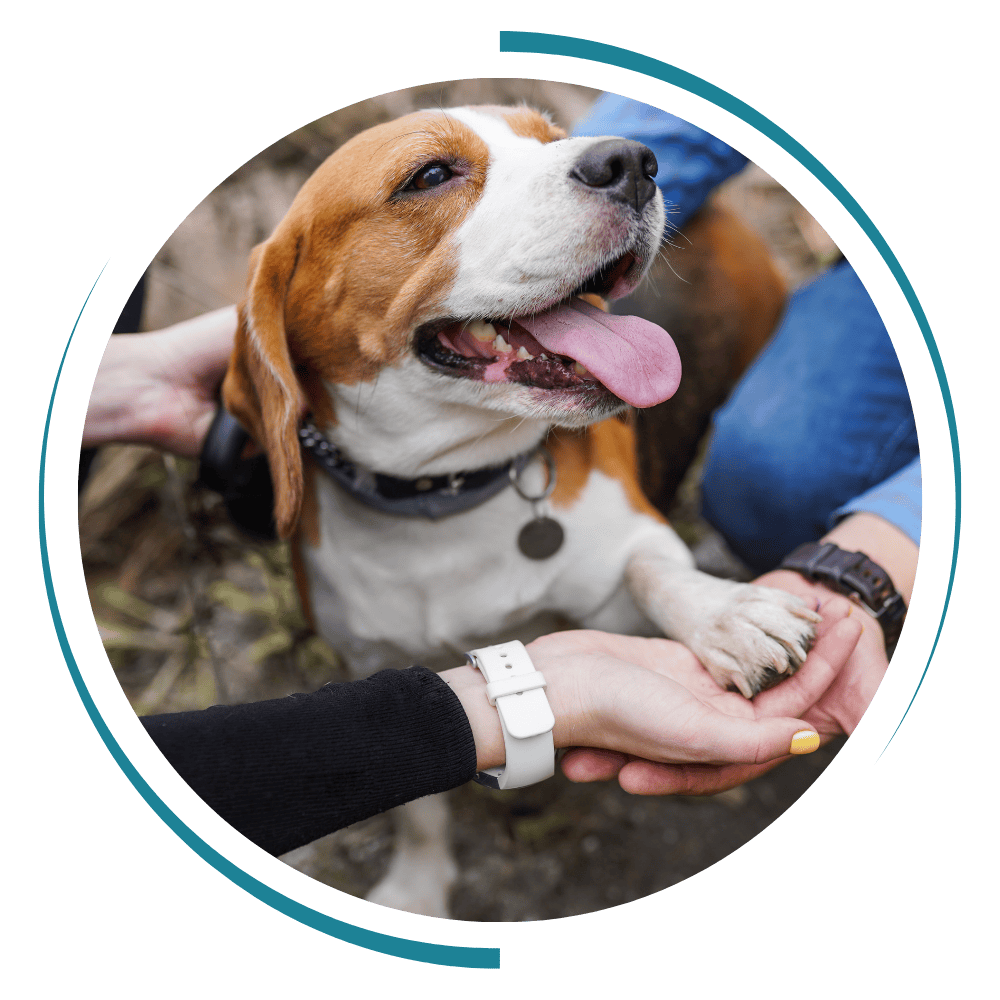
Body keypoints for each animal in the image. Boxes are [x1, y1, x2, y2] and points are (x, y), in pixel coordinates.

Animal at [223, 105, 816, 916]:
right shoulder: (383, 667)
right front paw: (417, 887)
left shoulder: (621, 570)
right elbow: (418, 805)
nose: (633, 162)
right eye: (430, 175)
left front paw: (727, 617)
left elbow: (653, 571)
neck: (447, 497)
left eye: (550, 136)